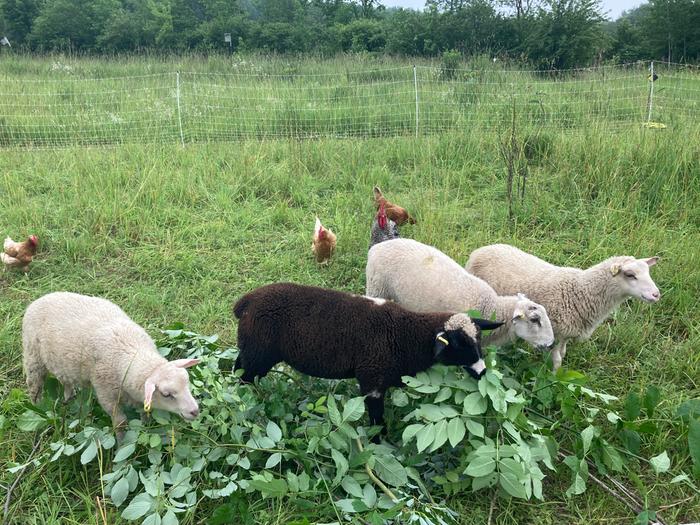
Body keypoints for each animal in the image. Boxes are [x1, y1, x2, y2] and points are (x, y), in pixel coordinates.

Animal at [22, 292, 201, 431]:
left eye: (187, 382)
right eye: (166, 394)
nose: (195, 411)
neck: (131, 350)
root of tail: (41, 297)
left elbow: (145, 412)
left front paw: (146, 427)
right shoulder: (106, 392)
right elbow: (120, 423)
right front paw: (122, 445)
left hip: (63, 364)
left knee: (66, 381)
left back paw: (68, 398)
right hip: (32, 355)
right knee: (34, 386)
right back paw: (38, 409)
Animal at [233, 282, 503, 433]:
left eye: (478, 340)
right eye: (459, 345)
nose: (482, 371)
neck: (406, 334)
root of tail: (247, 301)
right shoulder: (371, 379)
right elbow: (376, 420)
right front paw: (380, 444)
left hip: (250, 349)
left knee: (237, 369)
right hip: (259, 352)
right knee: (245, 379)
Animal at [465, 244, 660, 371]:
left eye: (648, 272)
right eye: (630, 275)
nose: (656, 294)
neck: (581, 291)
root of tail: (481, 249)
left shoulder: (567, 332)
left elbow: (564, 352)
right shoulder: (555, 332)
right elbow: (558, 359)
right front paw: (554, 377)